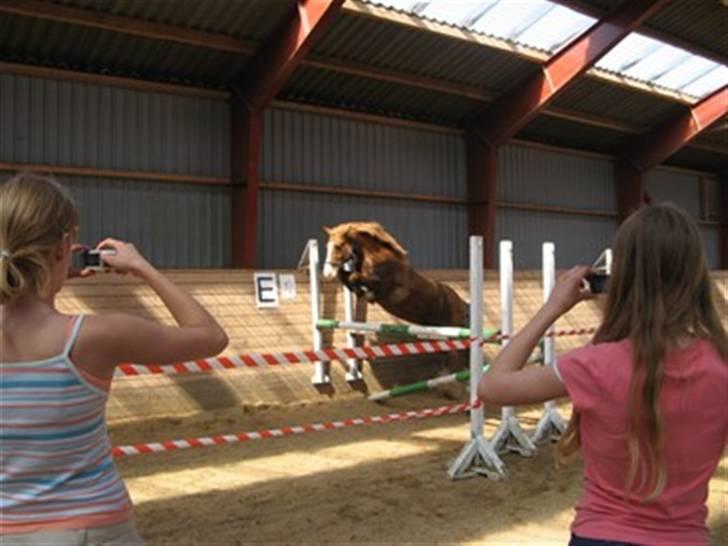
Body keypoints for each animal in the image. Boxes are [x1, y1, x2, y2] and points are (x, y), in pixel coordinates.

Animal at [322, 219, 470, 326]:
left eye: (338, 246)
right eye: (327, 246)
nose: (327, 274)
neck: (374, 257)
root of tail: (462, 303)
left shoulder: (383, 285)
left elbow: (355, 277)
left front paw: (365, 294)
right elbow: (345, 276)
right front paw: (358, 291)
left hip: (454, 325)